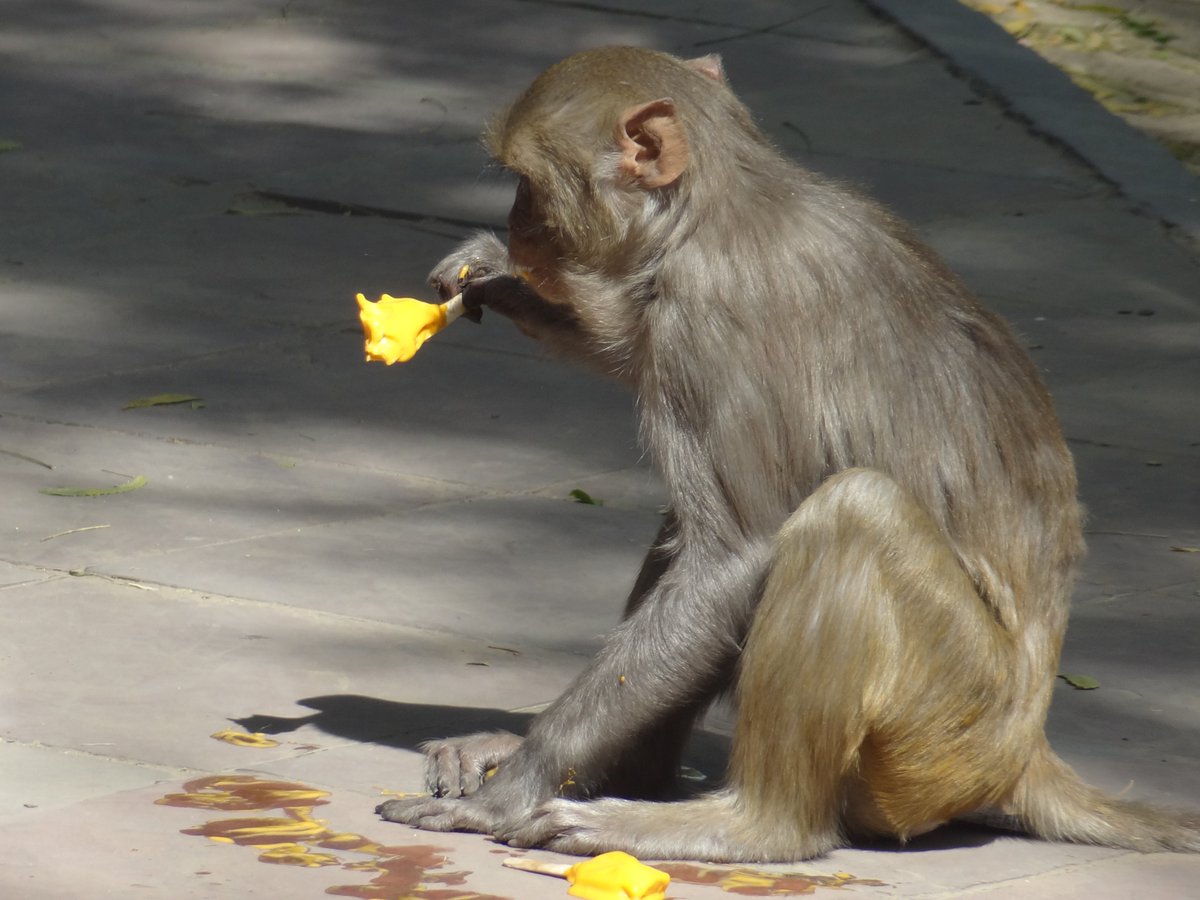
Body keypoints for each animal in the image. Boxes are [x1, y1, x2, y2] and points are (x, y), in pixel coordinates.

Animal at [376, 46, 1200, 862]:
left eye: (528, 184)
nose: (515, 228)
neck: (721, 203)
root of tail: (1028, 751)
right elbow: (630, 354)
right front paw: (497, 277)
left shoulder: (709, 313)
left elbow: (735, 555)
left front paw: (513, 786)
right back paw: (634, 775)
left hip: (953, 734)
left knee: (850, 512)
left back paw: (750, 825)